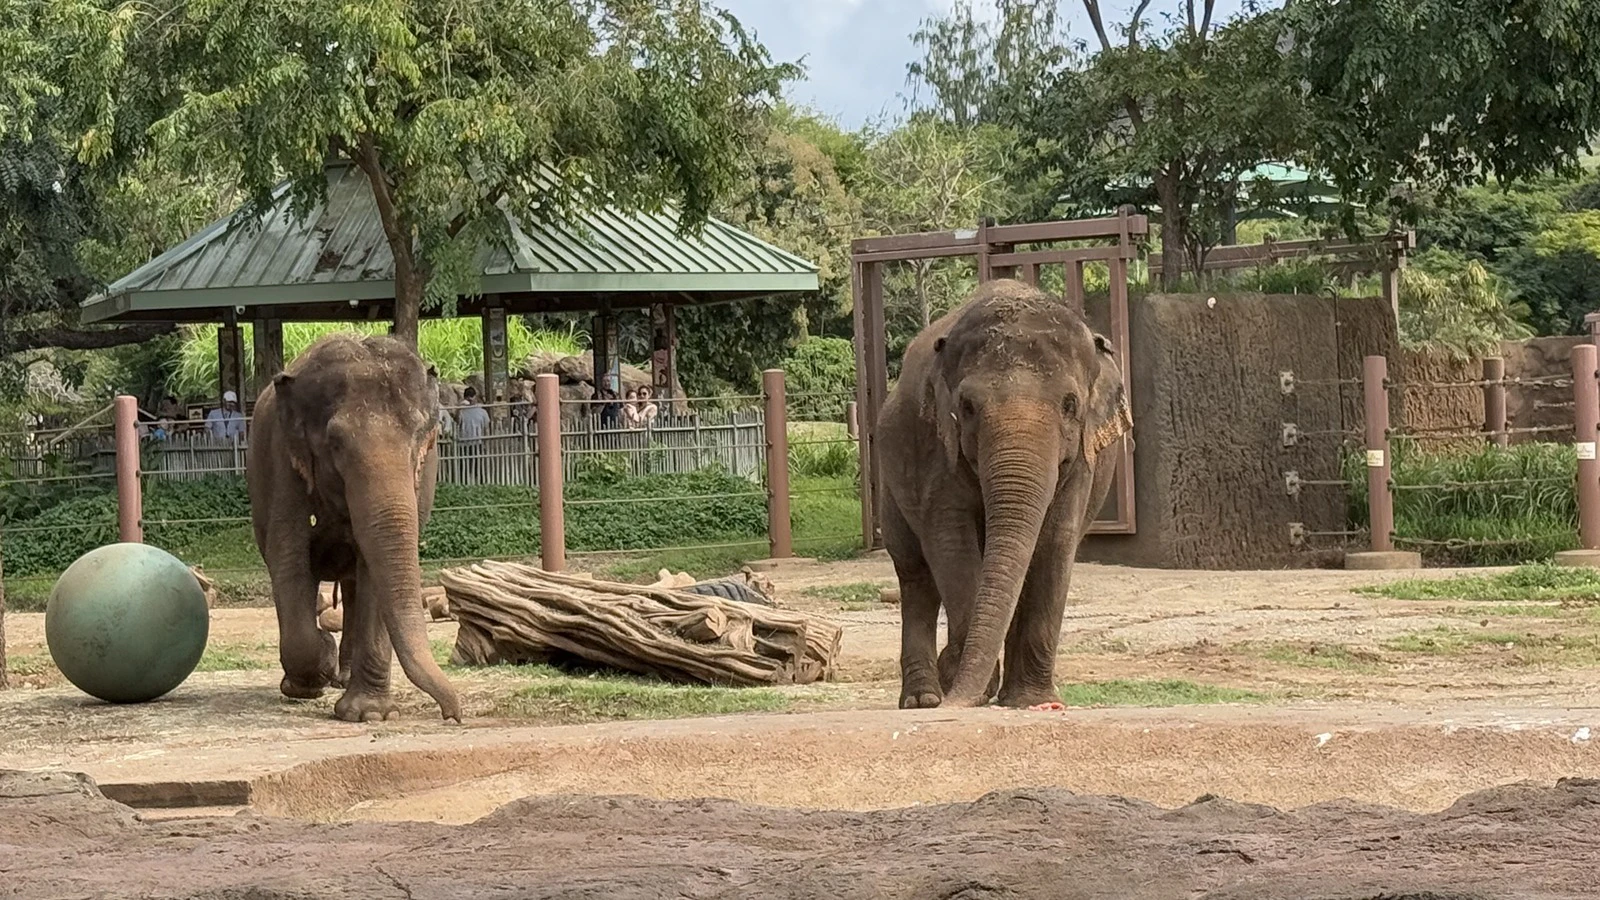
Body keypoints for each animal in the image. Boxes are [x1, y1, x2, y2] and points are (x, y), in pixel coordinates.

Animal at [248, 333, 462, 723]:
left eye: (418, 439)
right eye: (335, 443)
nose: (452, 715)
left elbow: (373, 568)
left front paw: (370, 715)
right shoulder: (283, 461)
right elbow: (288, 556)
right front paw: (318, 663)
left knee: (352, 585)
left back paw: (344, 676)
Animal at [875, 279, 1133, 710]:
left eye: (1070, 405)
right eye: (966, 407)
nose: (957, 694)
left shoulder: (1083, 460)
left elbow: (1056, 541)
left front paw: (1027, 700)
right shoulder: (936, 450)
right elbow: (950, 541)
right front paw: (968, 683)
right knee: (915, 573)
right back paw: (923, 699)